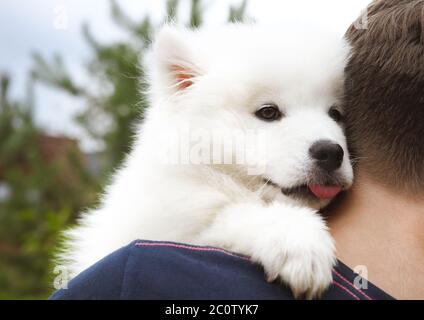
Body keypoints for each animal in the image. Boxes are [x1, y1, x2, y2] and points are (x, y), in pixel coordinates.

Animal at [58, 23, 352, 298]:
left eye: (335, 114)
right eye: (268, 112)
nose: (330, 152)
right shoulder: (164, 223)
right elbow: (225, 215)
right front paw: (300, 242)